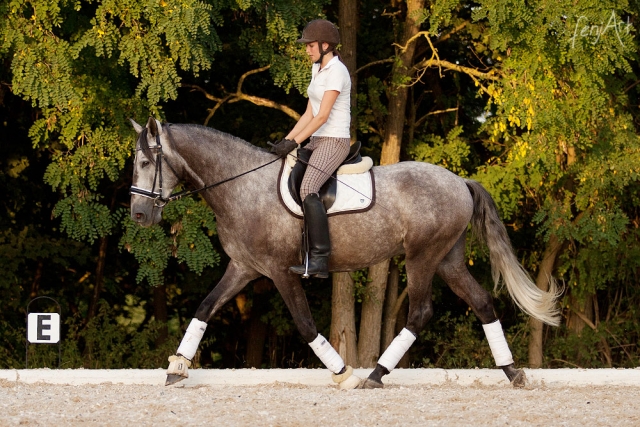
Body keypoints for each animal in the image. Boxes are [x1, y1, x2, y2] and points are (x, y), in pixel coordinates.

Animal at [131, 118, 560, 392]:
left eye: (146, 163)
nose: (139, 215)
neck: (242, 186)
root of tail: (460, 181)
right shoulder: (244, 268)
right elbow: (204, 308)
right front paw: (176, 368)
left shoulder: (280, 271)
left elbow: (305, 325)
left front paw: (345, 374)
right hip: (448, 260)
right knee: (483, 303)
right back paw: (513, 373)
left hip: (422, 257)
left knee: (421, 312)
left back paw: (375, 375)